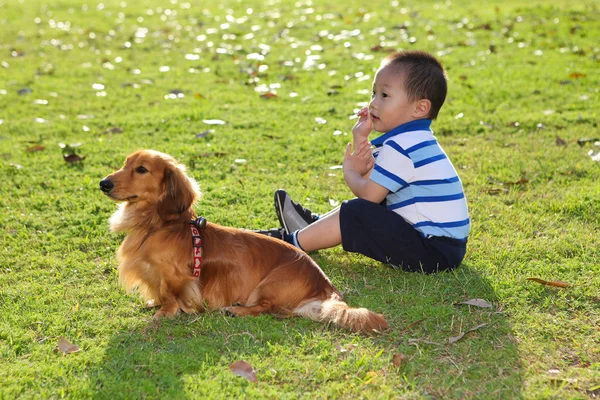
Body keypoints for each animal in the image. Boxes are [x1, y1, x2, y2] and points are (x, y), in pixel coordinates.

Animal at [98, 148, 390, 332]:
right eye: (125, 164)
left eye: (141, 169)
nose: (103, 183)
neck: (158, 226)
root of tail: (327, 288)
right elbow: (159, 293)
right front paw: (154, 303)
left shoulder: (175, 277)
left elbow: (170, 296)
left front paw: (163, 314)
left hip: (269, 285)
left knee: (268, 308)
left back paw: (236, 310)